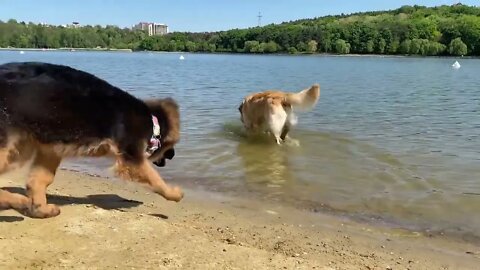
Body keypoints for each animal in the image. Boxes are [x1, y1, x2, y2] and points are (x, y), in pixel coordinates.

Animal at [0, 61, 183, 217]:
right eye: (170, 148)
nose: (173, 155)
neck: (152, 122)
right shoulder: (131, 157)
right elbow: (155, 178)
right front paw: (174, 193)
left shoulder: (51, 150)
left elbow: (40, 180)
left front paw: (40, 209)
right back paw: (18, 201)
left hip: (19, 150)